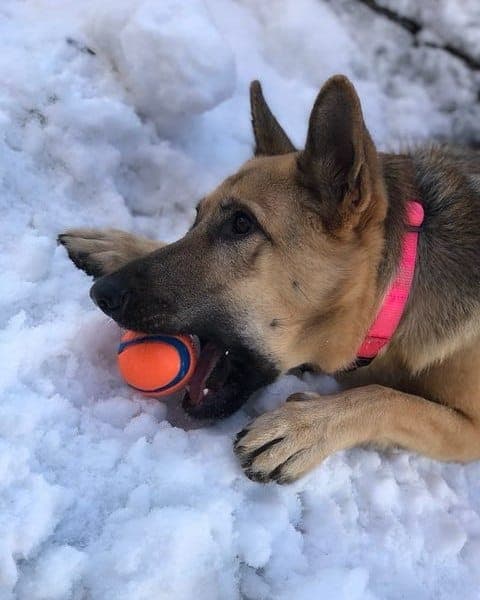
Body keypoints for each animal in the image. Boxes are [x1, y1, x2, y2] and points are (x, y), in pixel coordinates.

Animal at [58, 75, 480, 486]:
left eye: (242, 224)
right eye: (195, 217)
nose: (101, 293)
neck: (397, 296)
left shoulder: (470, 428)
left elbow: (388, 398)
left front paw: (303, 428)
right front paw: (118, 245)